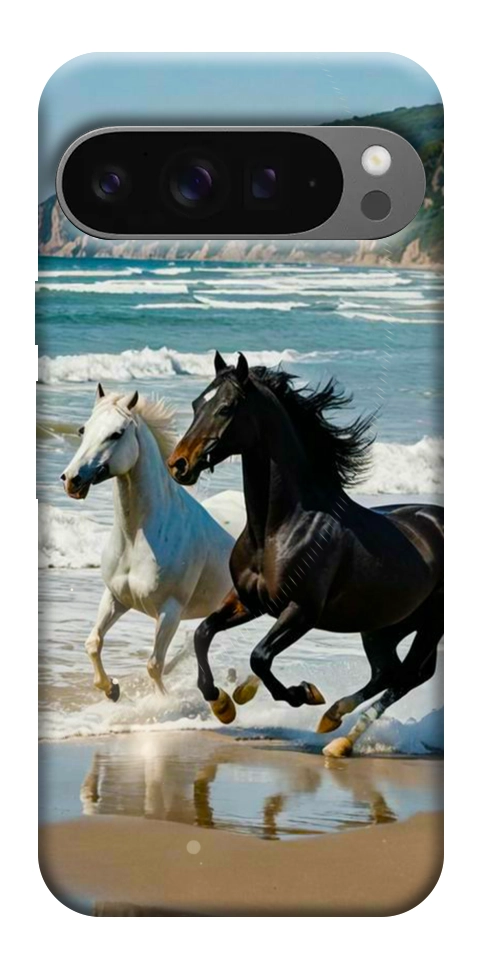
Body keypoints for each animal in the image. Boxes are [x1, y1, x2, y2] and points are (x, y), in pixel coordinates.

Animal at [61, 383, 234, 701]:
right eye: (83, 430)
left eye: (116, 433)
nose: (71, 480)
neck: (137, 538)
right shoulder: (116, 597)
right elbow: (93, 642)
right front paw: (111, 689)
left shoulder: (170, 611)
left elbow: (154, 664)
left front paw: (161, 703)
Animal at [167, 352, 444, 757]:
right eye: (195, 404)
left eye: (227, 407)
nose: (179, 464)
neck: (279, 528)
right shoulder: (249, 601)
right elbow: (203, 633)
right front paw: (222, 704)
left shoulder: (301, 611)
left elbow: (260, 657)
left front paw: (303, 693)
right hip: (383, 626)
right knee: (388, 672)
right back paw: (333, 721)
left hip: (429, 625)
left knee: (407, 676)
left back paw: (339, 737)